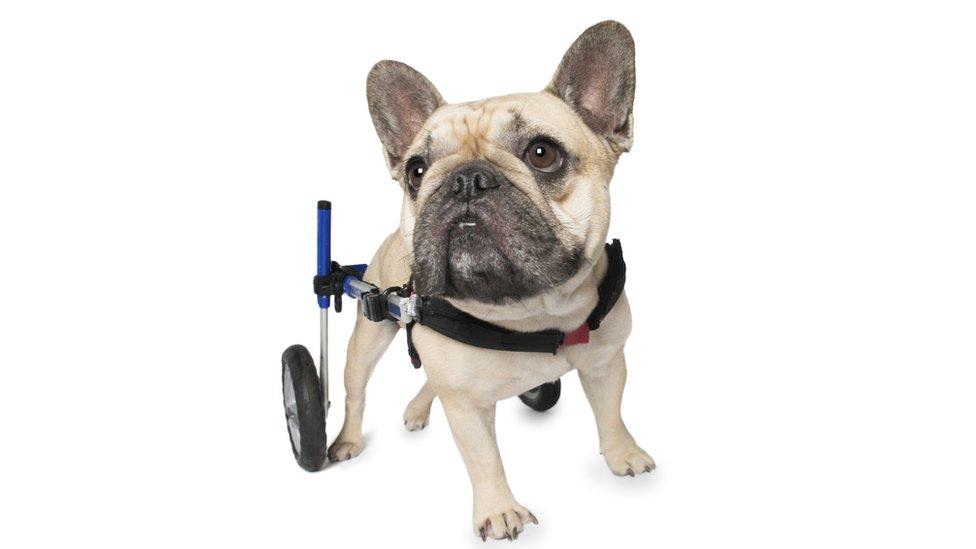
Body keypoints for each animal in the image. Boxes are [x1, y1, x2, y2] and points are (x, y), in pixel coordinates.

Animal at [328, 19, 656, 536]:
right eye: (416, 170)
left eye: (542, 153)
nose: (464, 179)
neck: (529, 315)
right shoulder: (465, 404)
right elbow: (483, 458)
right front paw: (500, 511)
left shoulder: (607, 364)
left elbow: (611, 413)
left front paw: (623, 455)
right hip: (368, 334)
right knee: (355, 392)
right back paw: (346, 440)